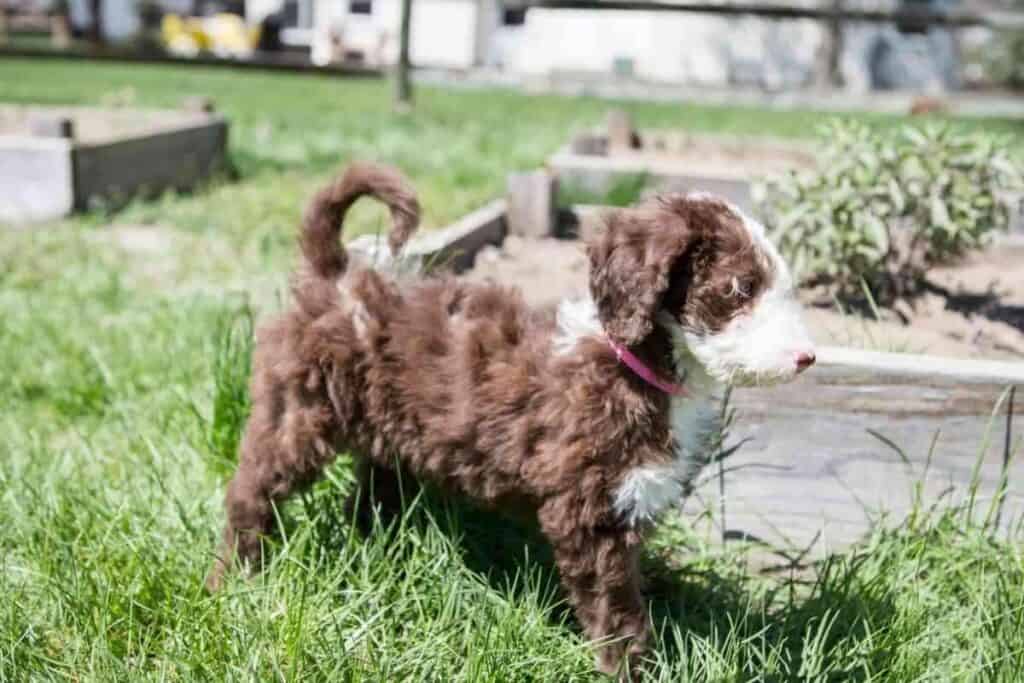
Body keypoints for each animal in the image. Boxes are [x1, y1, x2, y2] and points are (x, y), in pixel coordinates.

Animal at [207, 161, 815, 679]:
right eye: (739, 289)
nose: (808, 357)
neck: (634, 364)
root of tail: (333, 277)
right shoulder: (589, 511)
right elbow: (615, 608)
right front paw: (632, 668)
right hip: (298, 410)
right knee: (250, 494)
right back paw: (233, 580)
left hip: (381, 430)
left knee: (369, 495)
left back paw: (382, 552)